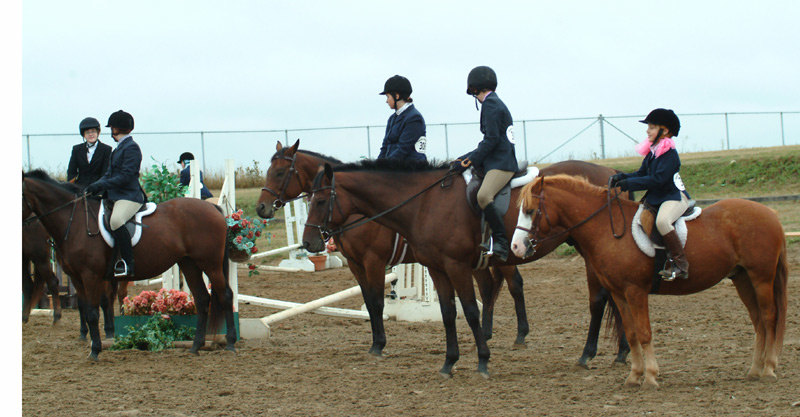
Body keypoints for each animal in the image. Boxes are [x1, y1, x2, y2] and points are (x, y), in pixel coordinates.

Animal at [20, 169, 236, 358]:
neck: (76, 222)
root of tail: (212, 207)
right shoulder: (76, 277)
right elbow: (85, 309)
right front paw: (92, 345)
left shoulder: (91, 276)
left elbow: (93, 312)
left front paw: (95, 351)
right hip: (189, 264)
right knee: (202, 299)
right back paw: (195, 346)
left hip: (210, 264)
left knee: (225, 295)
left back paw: (231, 343)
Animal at [300, 158, 632, 376]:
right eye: (307, 200)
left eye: (320, 201)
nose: (309, 242)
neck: (424, 203)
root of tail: (611, 173)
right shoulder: (435, 268)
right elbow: (448, 313)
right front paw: (449, 362)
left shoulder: (452, 265)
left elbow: (469, 310)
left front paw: (483, 360)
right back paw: (622, 352)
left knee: (600, 299)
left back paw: (589, 354)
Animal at [512, 173, 788, 386]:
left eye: (530, 211)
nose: (516, 247)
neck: (607, 228)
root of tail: (771, 214)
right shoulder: (619, 293)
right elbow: (632, 333)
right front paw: (634, 376)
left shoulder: (635, 291)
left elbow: (644, 333)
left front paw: (651, 377)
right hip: (742, 278)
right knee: (758, 321)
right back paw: (754, 370)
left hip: (761, 277)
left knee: (768, 317)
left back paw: (768, 369)